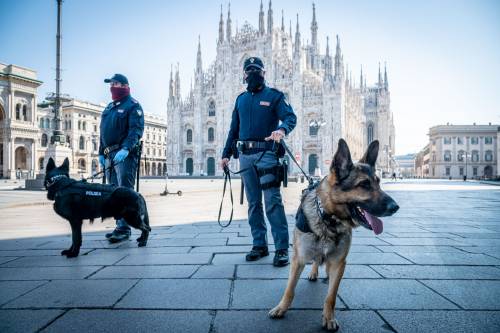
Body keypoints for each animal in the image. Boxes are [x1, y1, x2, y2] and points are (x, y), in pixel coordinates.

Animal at [268, 138, 400, 330]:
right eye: (364, 184)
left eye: (378, 182)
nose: (395, 207)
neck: (328, 220)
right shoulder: (298, 259)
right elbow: (290, 289)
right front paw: (281, 308)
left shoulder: (339, 263)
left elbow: (331, 297)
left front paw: (329, 318)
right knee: (315, 261)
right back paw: (313, 273)